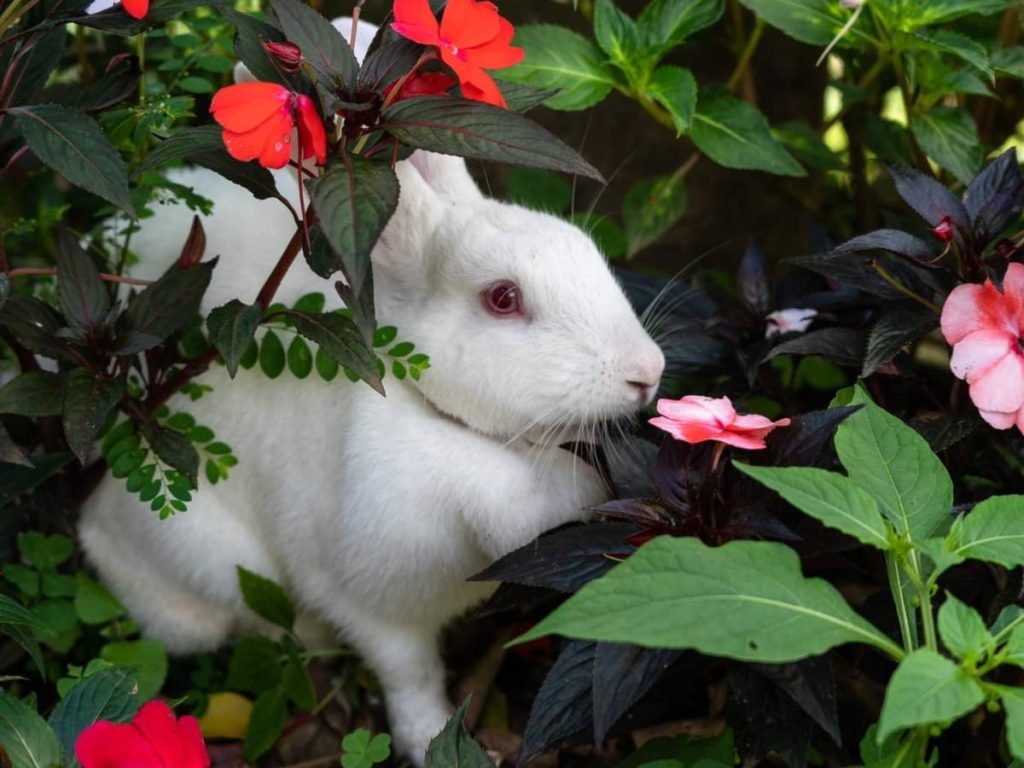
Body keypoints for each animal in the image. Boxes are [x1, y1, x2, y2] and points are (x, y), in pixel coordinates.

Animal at [78, 19, 665, 765]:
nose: (647, 371)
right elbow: (406, 673)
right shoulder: (371, 603)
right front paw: (430, 738)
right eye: (503, 299)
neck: (445, 422)